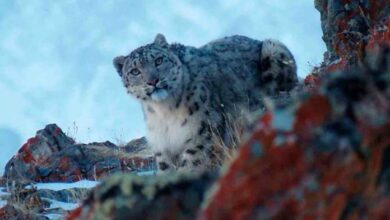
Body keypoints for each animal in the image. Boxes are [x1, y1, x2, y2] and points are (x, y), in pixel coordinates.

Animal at [114, 33, 298, 174]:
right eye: (135, 71)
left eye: (158, 60)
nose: (153, 81)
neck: (164, 111)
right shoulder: (162, 146)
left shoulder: (202, 133)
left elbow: (190, 165)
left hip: (273, 48)